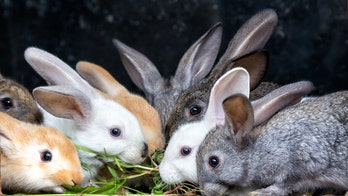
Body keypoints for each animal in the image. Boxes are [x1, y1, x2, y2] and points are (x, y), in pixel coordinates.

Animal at [197, 86, 346, 195]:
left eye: (213, 161)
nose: (204, 191)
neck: (257, 151)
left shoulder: (300, 166)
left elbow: (284, 185)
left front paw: (261, 192)